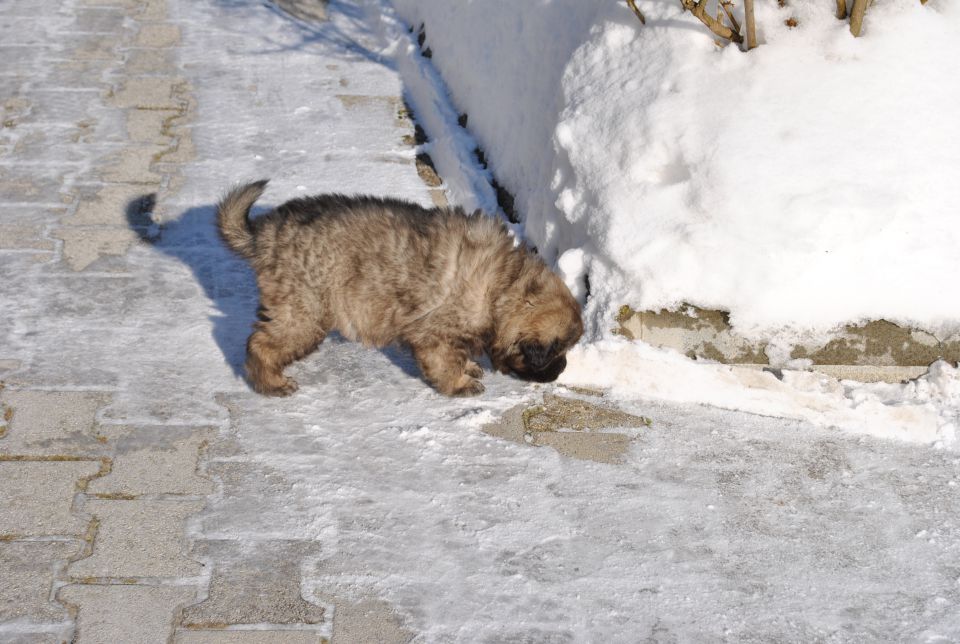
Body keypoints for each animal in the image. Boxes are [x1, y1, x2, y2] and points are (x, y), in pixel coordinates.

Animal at [215, 179, 580, 394]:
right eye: (554, 353)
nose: (562, 371)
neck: (502, 286)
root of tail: (265, 233)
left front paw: (470, 367)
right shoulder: (436, 334)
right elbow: (445, 361)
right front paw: (460, 383)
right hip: (304, 313)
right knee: (261, 344)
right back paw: (272, 382)